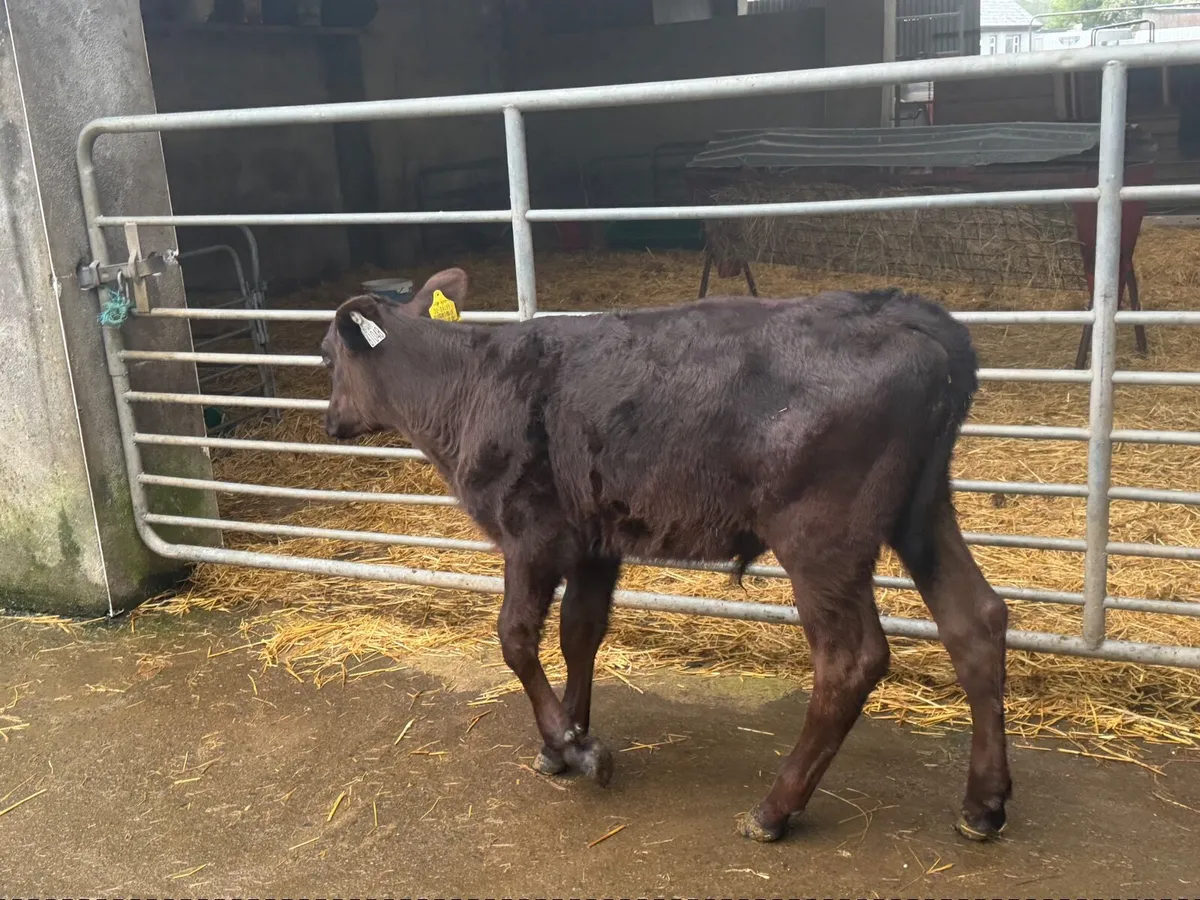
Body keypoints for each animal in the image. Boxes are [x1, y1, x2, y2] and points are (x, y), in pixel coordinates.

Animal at [320, 267, 1011, 843]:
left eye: (327, 358)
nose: (331, 423)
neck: (467, 387)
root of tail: (905, 312)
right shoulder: (594, 541)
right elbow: (579, 632)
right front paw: (569, 740)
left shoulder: (531, 533)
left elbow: (516, 638)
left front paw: (569, 743)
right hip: (922, 507)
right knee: (976, 619)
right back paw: (984, 804)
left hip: (822, 536)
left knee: (850, 661)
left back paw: (774, 810)